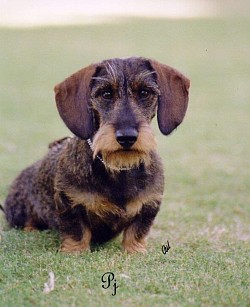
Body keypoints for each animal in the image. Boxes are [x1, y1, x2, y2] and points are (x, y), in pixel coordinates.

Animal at [3, 56, 189, 254]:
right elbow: (76, 230)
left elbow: (137, 231)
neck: (119, 168)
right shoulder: (70, 203)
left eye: (144, 92)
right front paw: (75, 251)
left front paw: (135, 251)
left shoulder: (149, 204)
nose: (127, 137)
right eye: (106, 94)